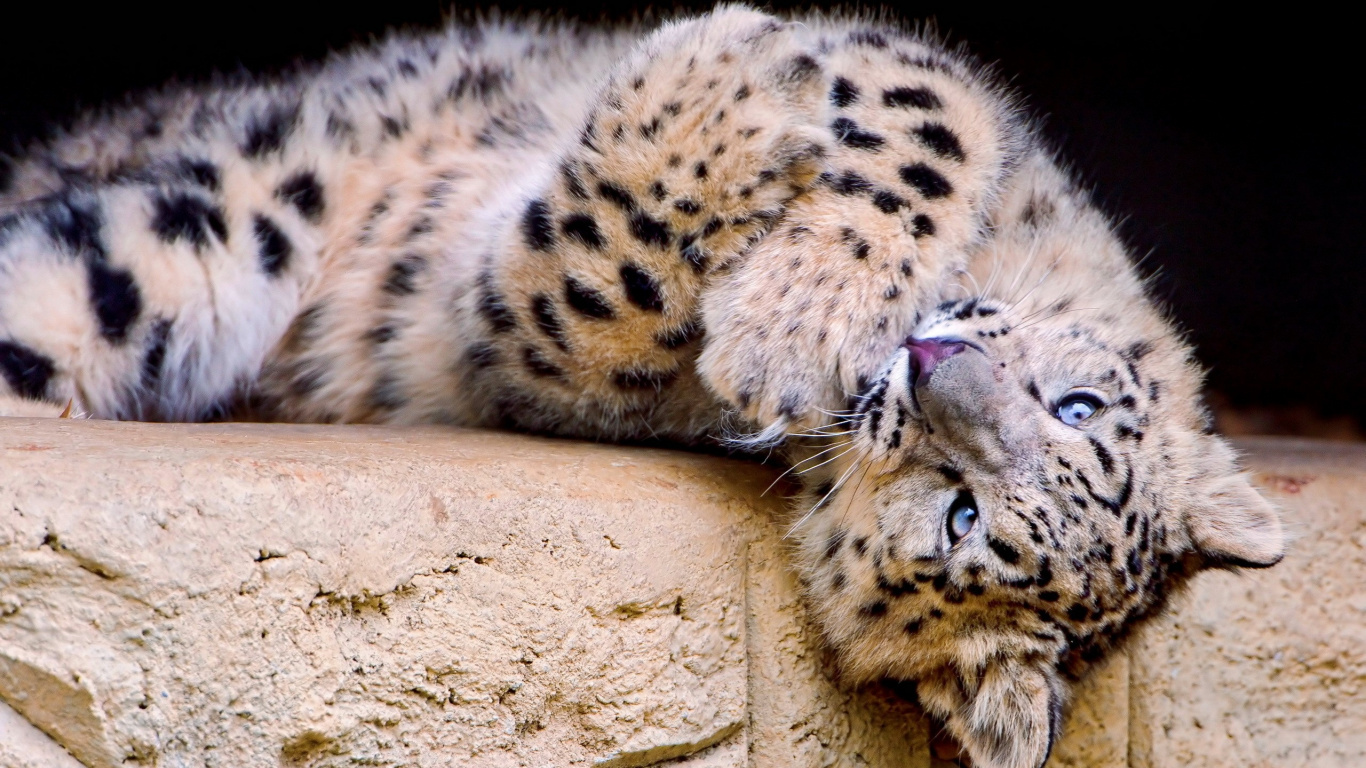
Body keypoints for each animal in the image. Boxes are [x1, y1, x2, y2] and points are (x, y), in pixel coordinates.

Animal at [0, 7, 1284, 767]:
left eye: (959, 513)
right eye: (1076, 407)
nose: (932, 366)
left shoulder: (528, 346)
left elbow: (586, 283)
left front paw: (759, 300)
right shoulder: (926, 79)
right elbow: (918, 122)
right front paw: (789, 260)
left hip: (171, 254)